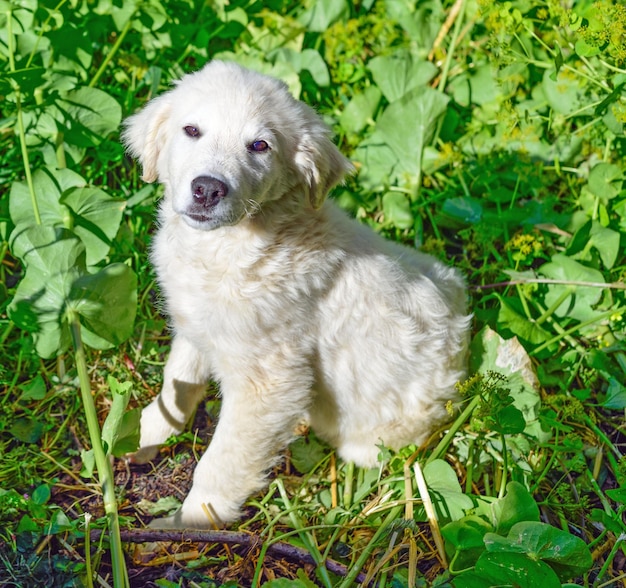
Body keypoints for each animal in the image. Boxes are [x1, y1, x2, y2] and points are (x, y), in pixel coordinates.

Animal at [122, 59, 468, 528]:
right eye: (191, 130)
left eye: (260, 146)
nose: (207, 189)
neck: (232, 247)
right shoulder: (196, 326)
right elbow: (177, 387)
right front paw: (141, 436)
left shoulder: (269, 381)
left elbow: (222, 463)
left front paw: (190, 524)